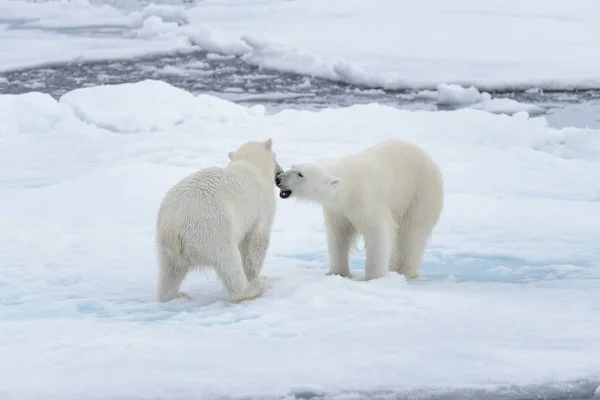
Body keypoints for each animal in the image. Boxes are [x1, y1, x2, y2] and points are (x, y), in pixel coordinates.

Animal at [157, 138, 284, 304]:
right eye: (275, 155)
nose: (280, 173)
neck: (250, 166)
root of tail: (173, 224)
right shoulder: (260, 207)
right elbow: (256, 242)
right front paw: (255, 276)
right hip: (213, 229)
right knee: (229, 261)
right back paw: (254, 288)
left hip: (165, 244)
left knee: (170, 272)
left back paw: (175, 295)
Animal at [276, 141, 440, 282]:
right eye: (292, 166)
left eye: (300, 174)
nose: (278, 178)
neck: (347, 187)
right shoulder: (337, 210)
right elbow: (338, 235)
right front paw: (337, 272)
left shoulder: (366, 200)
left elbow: (378, 233)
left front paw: (373, 277)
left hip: (421, 193)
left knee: (411, 233)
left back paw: (404, 271)